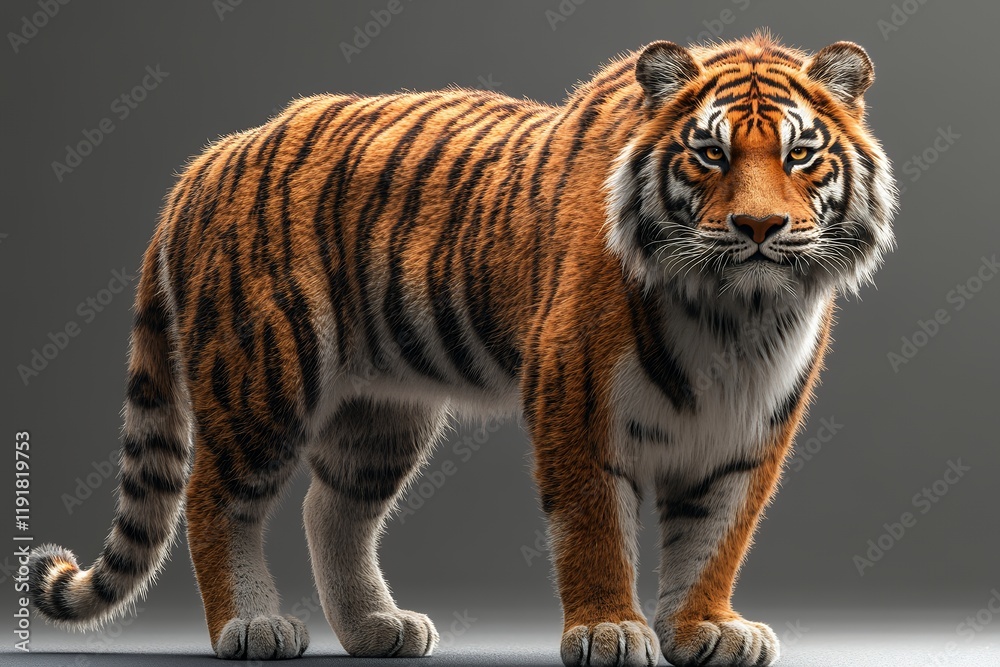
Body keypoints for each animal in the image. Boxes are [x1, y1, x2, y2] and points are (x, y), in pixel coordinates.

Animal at [30, 32, 896, 667]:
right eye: (710, 153)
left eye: (800, 154)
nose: (760, 227)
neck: (735, 313)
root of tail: (213, 156)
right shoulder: (574, 400)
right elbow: (594, 526)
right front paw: (610, 631)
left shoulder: (752, 428)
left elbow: (719, 533)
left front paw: (704, 628)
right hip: (261, 373)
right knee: (216, 496)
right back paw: (251, 627)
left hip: (381, 409)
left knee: (331, 509)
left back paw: (377, 628)